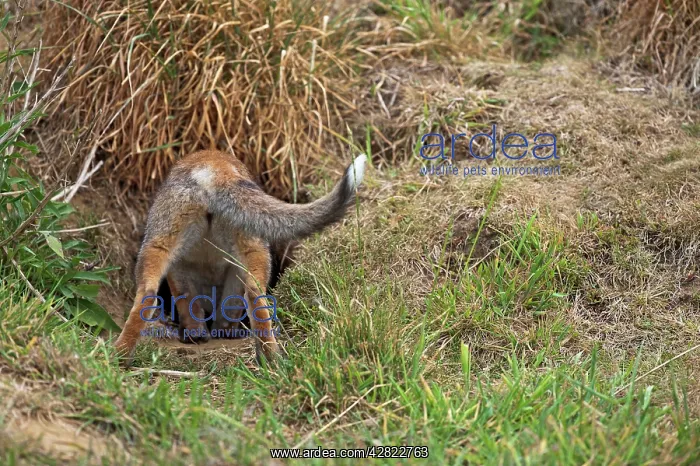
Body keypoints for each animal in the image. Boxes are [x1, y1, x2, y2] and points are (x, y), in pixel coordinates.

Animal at [114, 150, 367, 366]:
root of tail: (212, 165)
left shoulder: (179, 267)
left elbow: (192, 305)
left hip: (167, 246)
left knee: (150, 295)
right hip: (250, 250)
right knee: (253, 293)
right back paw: (270, 357)